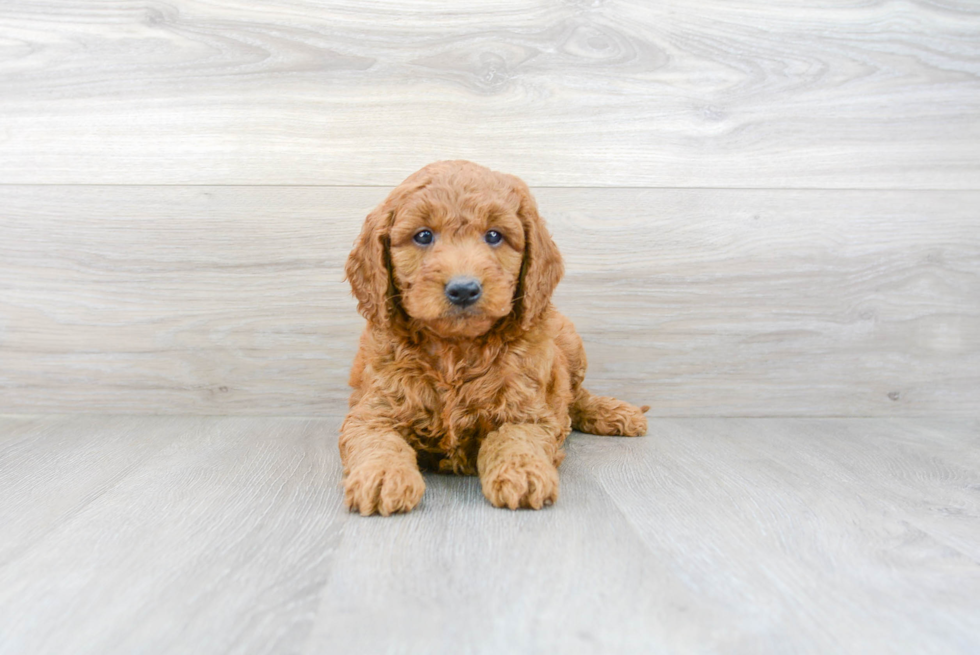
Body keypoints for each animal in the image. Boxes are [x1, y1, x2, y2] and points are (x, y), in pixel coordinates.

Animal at [340, 161, 648, 516]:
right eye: (423, 235)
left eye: (494, 235)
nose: (463, 289)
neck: (455, 349)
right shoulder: (373, 410)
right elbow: (378, 441)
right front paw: (381, 477)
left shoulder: (527, 412)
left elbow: (514, 438)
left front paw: (522, 472)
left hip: (569, 339)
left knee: (576, 396)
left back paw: (616, 413)